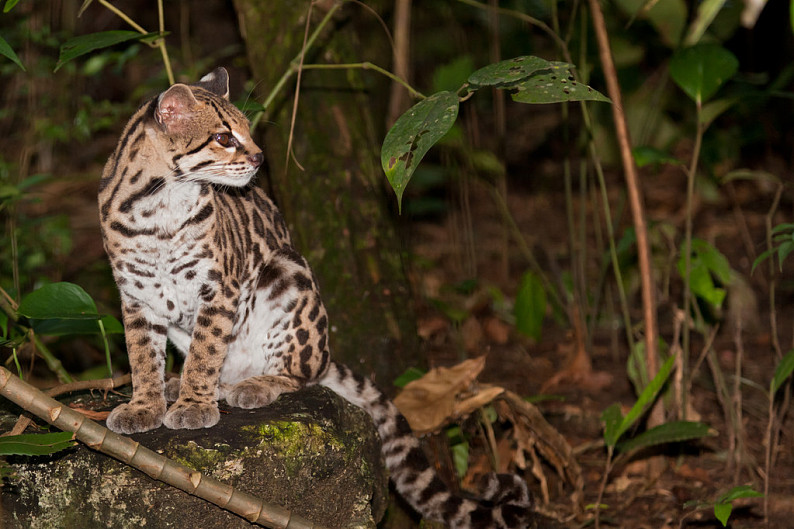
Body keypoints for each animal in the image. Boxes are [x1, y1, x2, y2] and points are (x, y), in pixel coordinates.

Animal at [99, 68, 532, 524]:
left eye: (247, 130)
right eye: (222, 137)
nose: (260, 158)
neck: (158, 205)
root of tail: (325, 352)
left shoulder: (219, 286)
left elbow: (206, 350)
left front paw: (194, 403)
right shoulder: (135, 296)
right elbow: (142, 356)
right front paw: (145, 404)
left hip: (288, 273)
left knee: (300, 372)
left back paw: (250, 385)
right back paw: (181, 384)